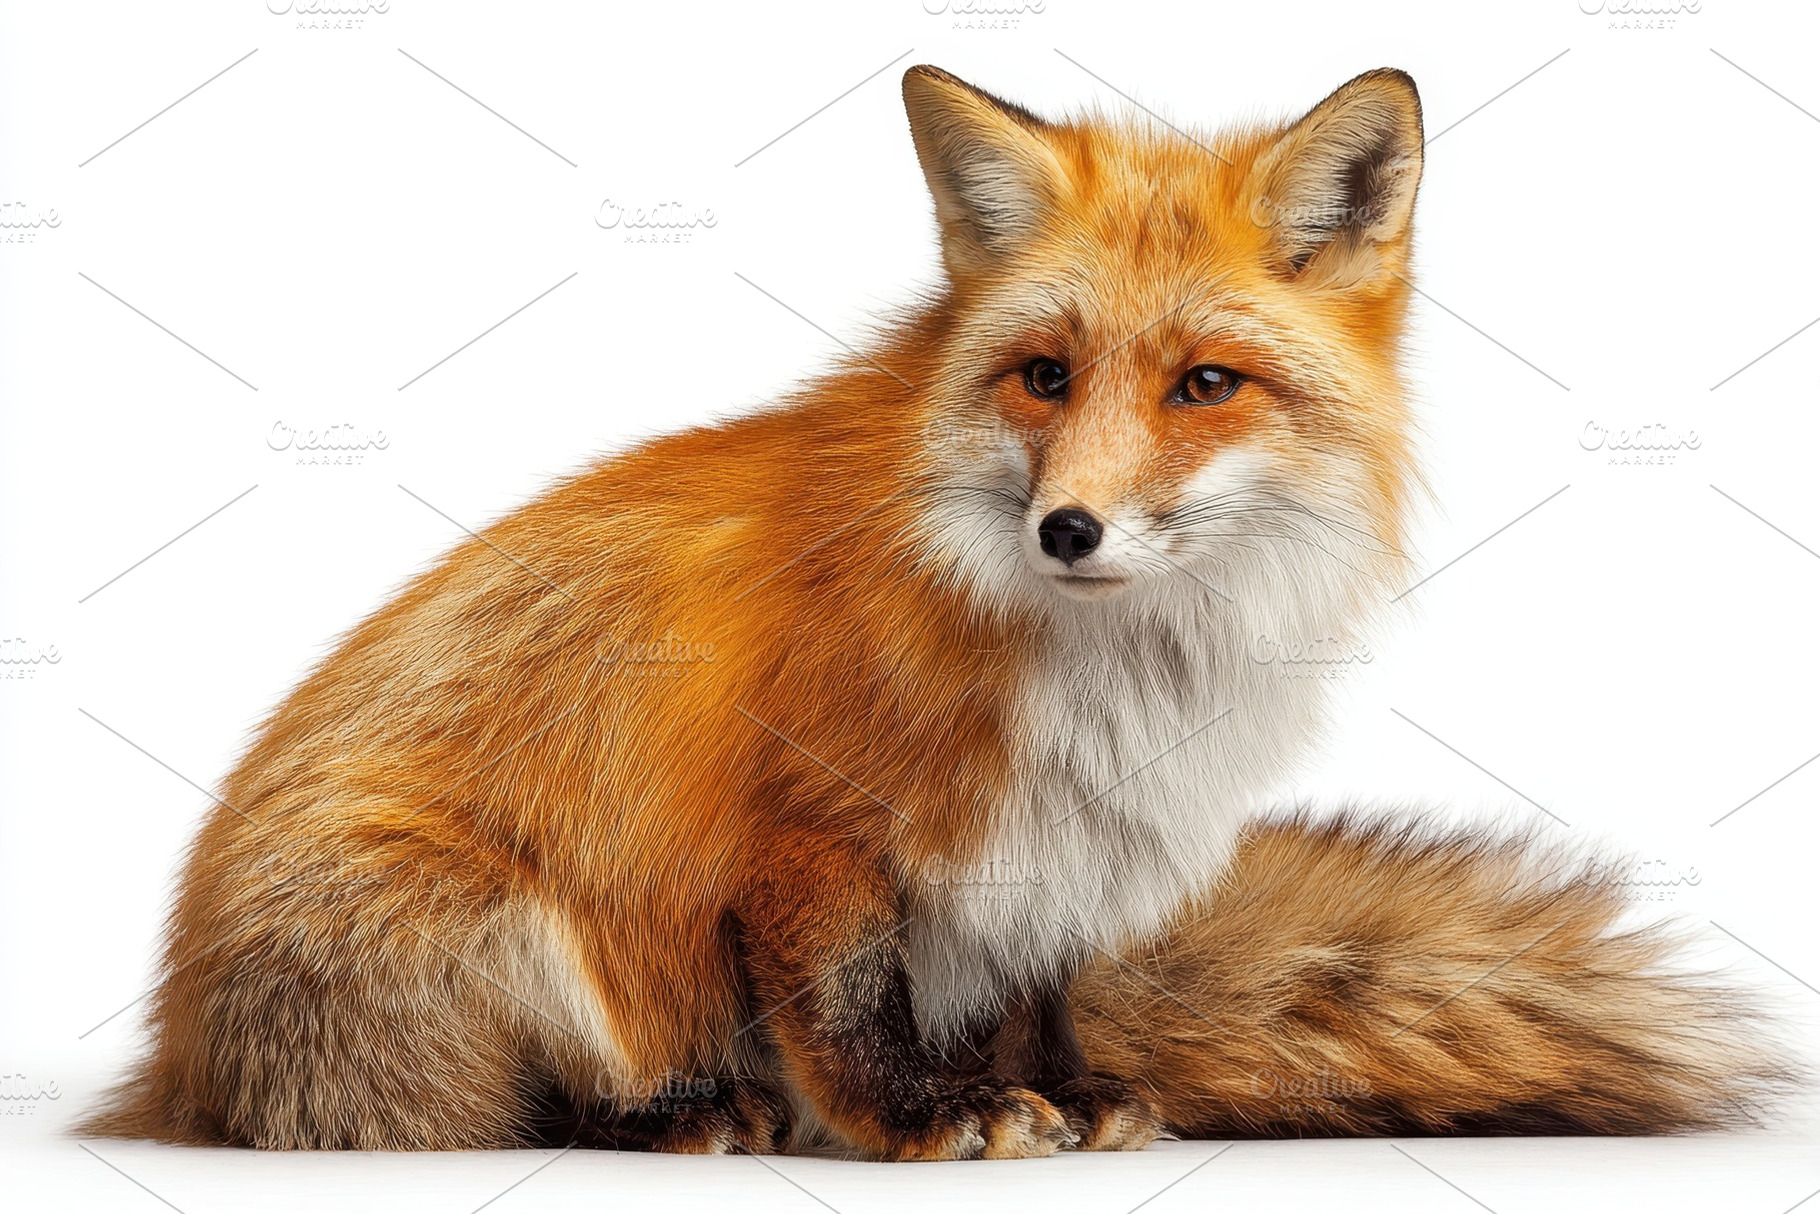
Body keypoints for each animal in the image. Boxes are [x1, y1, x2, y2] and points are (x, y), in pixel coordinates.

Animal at [82, 65, 1786, 1159]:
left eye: (1206, 384)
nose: (1069, 526)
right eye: (1043, 374)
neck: (1105, 666)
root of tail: (172, 1068)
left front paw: (1063, 1098)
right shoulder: (809, 824)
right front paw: (914, 1119)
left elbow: (1036, 1003)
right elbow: (850, 1002)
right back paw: (676, 1114)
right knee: (451, 1113)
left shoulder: (1059, 837)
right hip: (480, 920)